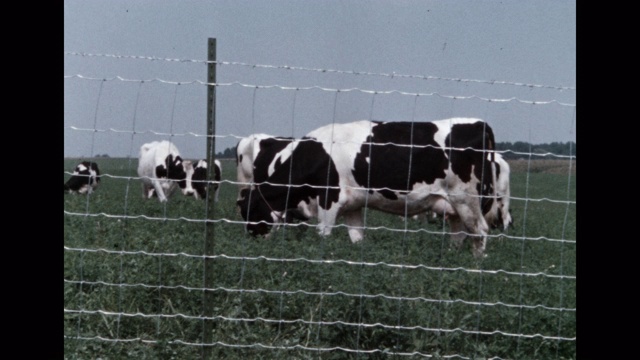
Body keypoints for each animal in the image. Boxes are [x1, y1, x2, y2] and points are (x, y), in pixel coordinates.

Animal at [238, 116, 498, 258]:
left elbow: (323, 236)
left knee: (480, 232)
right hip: (454, 204)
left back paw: (475, 266)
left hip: (467, 199)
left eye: (251, 212)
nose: (252, 245)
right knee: (458, 234)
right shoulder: (353, 205)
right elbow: (357, 238)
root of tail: (479, 123)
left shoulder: (328, 201)